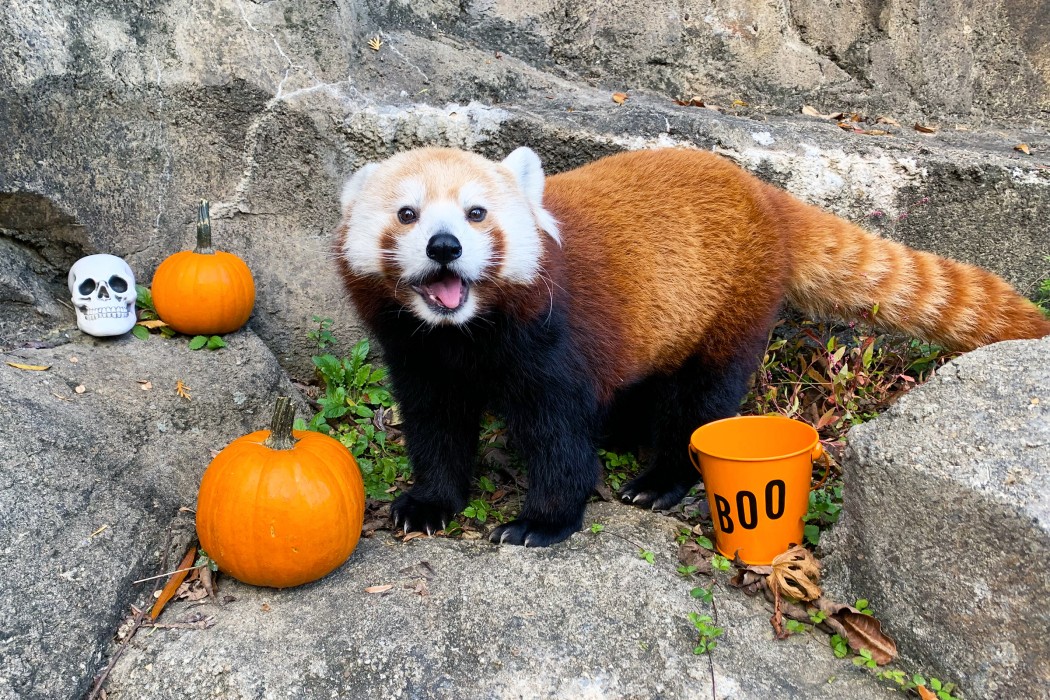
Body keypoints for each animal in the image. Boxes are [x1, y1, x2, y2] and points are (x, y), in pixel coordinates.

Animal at [336, 146, 1050, 545]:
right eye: (407, 215)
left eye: (477, 214)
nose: (444, 246)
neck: (467, 333)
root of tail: (764, 193)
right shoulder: (421, 358)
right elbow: (436, 428)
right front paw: (430, 505)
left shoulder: (554, 342)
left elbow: (557, 434)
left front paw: (543, 520)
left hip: (730, 305)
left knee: (699, 402)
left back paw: (661, 478)